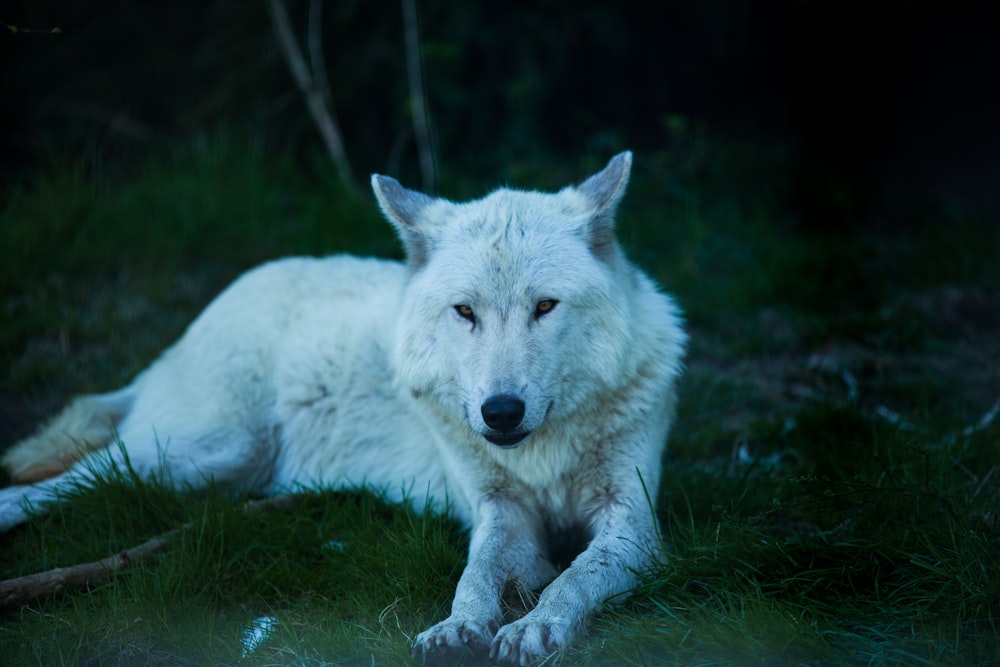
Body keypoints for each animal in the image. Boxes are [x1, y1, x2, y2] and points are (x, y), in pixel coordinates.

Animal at [0, 154, 684, 664]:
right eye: (465, 312)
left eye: (544, 306)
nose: (501, 413)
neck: (541, 457)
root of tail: (203, 316)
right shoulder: (500, 514)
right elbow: (475, 574)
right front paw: (457, 629)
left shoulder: (632, 522)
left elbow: (577, 575)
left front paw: (533, 628)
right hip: (203, 452)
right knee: (65, 480)